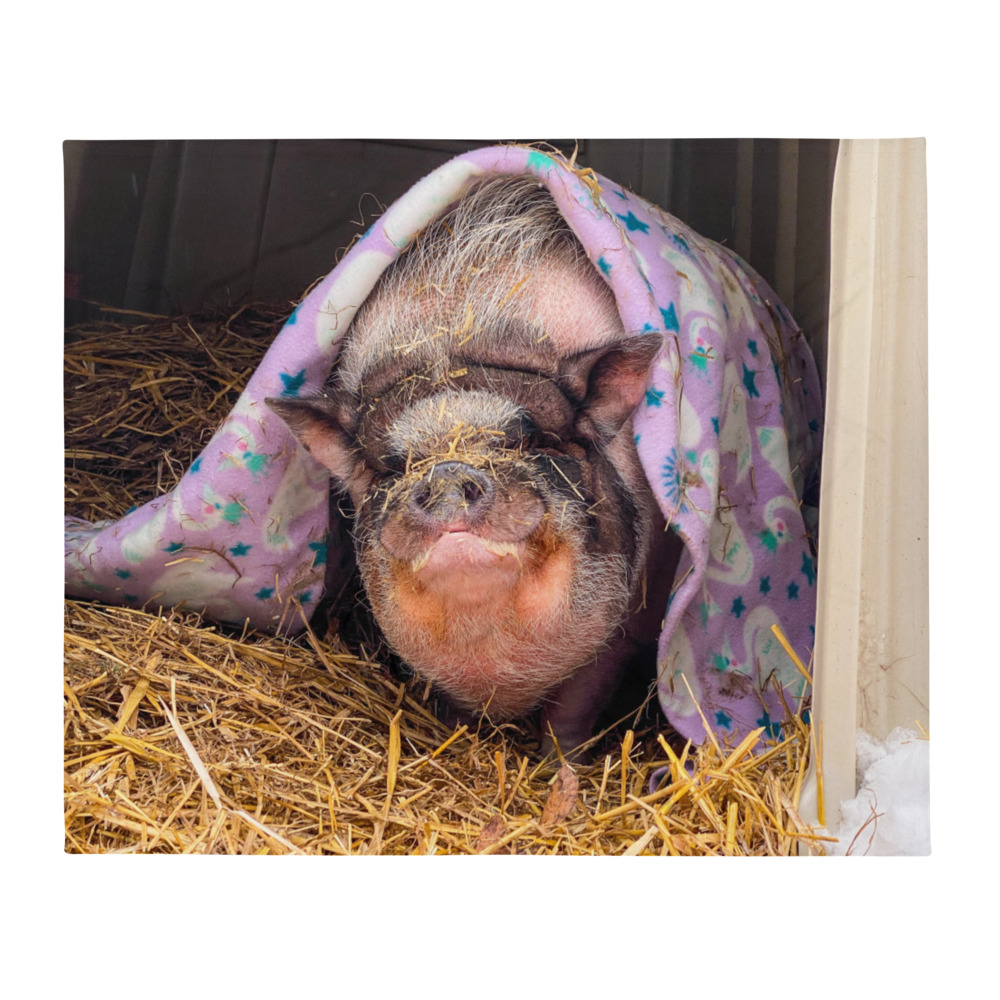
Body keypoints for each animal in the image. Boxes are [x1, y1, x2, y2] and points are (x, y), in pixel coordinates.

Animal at [267, 174, 682, 759]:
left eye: (533, 439)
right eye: (390, 467)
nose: (444, 474)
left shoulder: (621, 631)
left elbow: (571, 715)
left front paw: (561, 768)